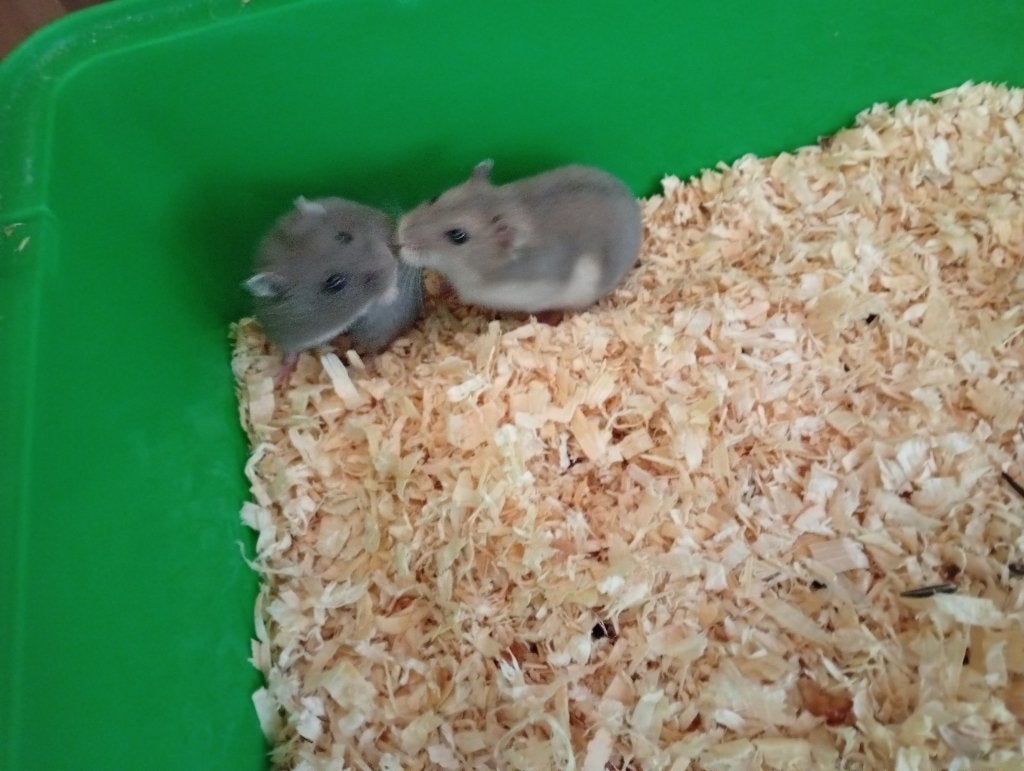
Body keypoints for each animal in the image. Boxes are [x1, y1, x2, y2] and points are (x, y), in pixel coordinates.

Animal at [243, 196, 423, 380]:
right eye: (335, 282)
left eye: (344, 236)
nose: (391, 264)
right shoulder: (287, 333)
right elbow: (290, 353)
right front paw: (277, 378)